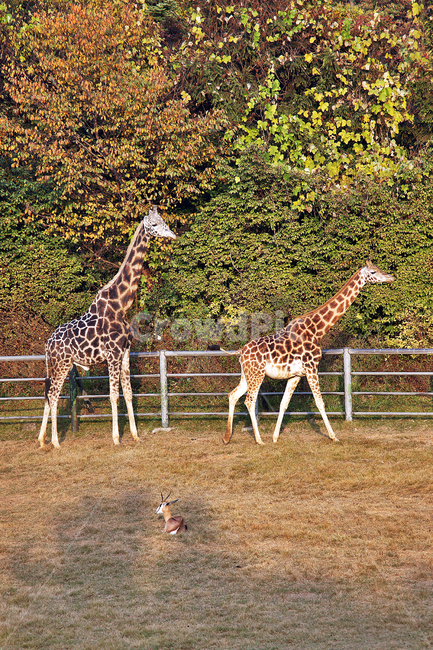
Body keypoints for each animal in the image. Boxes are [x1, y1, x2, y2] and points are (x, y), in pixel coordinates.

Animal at [38, 206, 176, 448]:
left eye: (164, 221)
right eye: (154, 224)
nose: (172, 235)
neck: (120, 305)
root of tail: (47, 343)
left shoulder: (125, 352)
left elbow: (129, 393)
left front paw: (135, 435)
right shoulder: (112, 354)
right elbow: (113, 395)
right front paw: (116, 438)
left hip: (55, 365)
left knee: (47, 393)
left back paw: (41, 440)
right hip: (62, 363)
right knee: (53, 394)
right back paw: (55, 442)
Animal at [223, 260, 394, 446]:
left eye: (378, 268)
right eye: (373, 272)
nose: (390, 277)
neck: (317, 331)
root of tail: (240, 351)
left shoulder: (296, 375)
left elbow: (284, 404)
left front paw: (275, 437)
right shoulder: (311, 367)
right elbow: (320, 403)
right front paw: (334, 436)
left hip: (247, 374)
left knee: (233, 395)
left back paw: (227, 437)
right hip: (257, 374)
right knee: (249, 400)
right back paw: (259, 440)